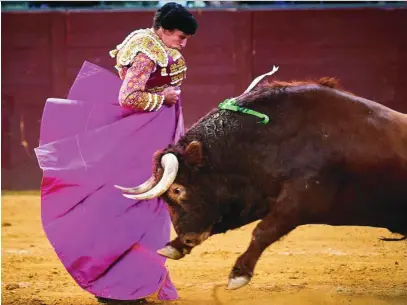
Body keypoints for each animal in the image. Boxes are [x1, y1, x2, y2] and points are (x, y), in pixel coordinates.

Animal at [115, 77, 407, 288]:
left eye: (177, 189)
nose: (188, 238)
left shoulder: (303, 199)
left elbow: (263, 231)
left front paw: (239, 274)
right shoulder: (254, 197)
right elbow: (223, 223)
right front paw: (173, 247)